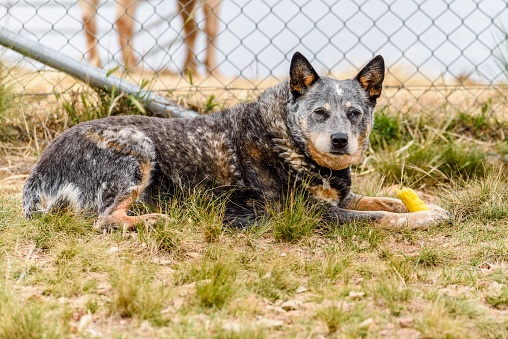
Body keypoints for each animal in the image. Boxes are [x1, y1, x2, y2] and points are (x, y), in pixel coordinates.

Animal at [22, 51, 448, 230]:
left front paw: (414, 204)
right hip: (137, 147)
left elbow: (381, 200)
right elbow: (379, 217)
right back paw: (151, 220)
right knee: (104, 220)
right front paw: (424, 216)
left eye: (355, 113)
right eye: (320, 113)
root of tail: (37, 177)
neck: (289, 139)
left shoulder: (336, 197)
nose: (341, 141)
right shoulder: (315, 214)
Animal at [80, 0, 220, 74]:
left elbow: (191, 27)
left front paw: (190, 69)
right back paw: (133, 67)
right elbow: (210, 28)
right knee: (122, 19)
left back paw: (95, 64)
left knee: (88, 19)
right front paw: (212, 71)